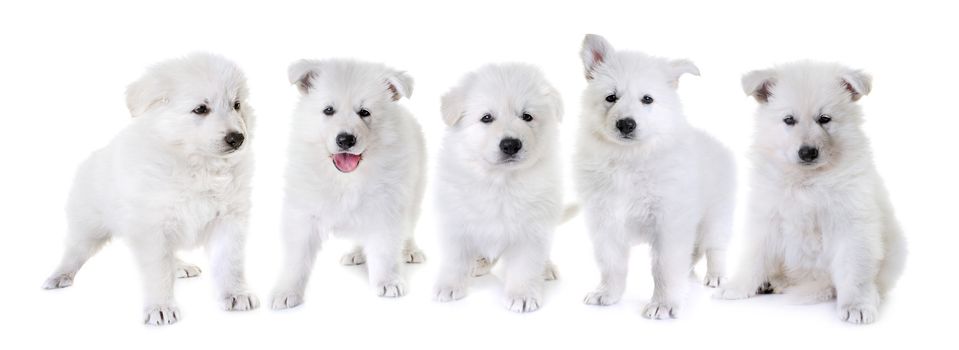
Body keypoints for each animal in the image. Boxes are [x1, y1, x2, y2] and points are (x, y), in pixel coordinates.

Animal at [43, 54, 260, 326]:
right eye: (201, 109)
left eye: (237, 105)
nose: (237, 138)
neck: (198, 165)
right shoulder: (152, 227)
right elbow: (158, 271)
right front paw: (161, 307)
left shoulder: (229, 219)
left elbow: (230, 263)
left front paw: (235, 293)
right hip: (87, 225)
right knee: (74, 250)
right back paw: (60, 275)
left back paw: (181, 265)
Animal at [274, 58, 432, 310]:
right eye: (328, 110)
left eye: (364, 112)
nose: (345, 140)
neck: (346, 178)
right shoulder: (303, 214)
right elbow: (296, 258)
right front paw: (286, 291)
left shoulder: (385, 207)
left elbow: (385, 249)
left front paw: (387, 281)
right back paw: (357, 253)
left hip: (415, 192)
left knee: (408, 227)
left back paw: (409, 250)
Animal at [434, 62, 568, 312]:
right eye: (487, 118)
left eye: (527, 116)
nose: (510, 145)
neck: (501, 181)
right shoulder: (456, 222)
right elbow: (454, 259)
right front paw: (449, 286)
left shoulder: (532, 230)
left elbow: (525, 266)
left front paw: (522, 295)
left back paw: (545, 268)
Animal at [572, 34, 740, 318]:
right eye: (611, 97)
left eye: (647, 99)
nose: (626, 124)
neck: (629, 158)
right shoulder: (604, 220)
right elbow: (611, 263)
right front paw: (607, 293)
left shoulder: (668, 221)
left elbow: (664, 267)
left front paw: (663, 304)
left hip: (716, 215)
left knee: (715, 246)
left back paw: (716, 276)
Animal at [720, 60, 908, 326]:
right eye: (789, 120)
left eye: (824, 118)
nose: (807, 152)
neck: (807, 181)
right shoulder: (767, 217)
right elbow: (754, 255)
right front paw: (738, 286)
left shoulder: (852, 224)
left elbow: (854, 269)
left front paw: (856, 305)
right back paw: (771, 282)